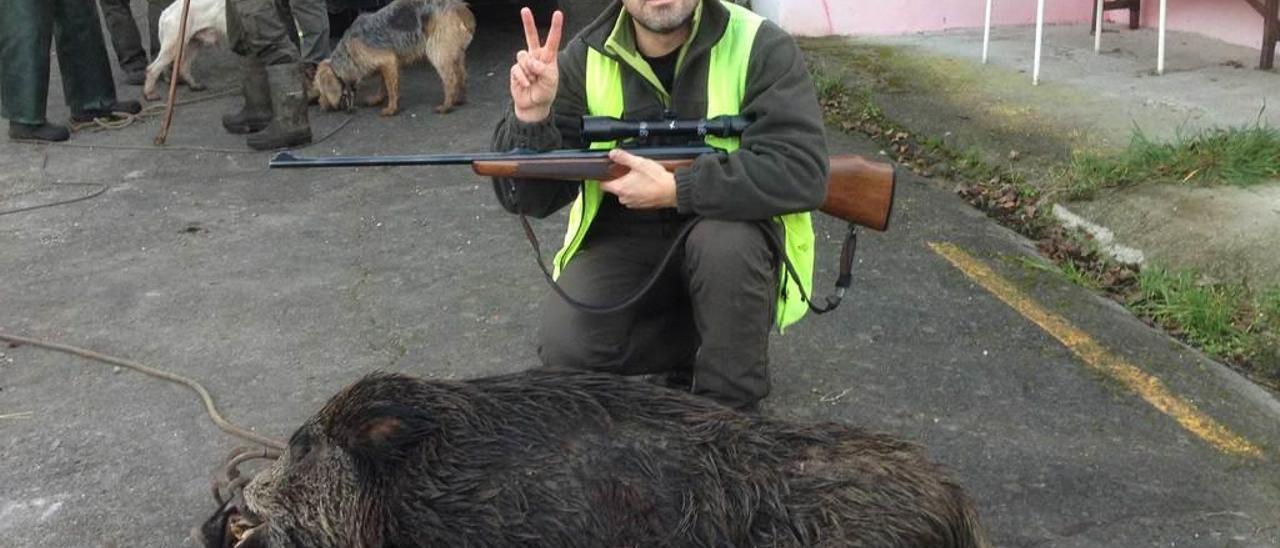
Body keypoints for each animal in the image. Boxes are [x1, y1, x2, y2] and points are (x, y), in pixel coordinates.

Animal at [313, 0, 476, 115]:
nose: (320, 105)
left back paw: (446, 106)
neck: (348, 53)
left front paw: (391, 109)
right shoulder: (387, 65)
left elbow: (391, 88)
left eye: (321, 91)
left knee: (451, 79)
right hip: (455, 52)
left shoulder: (388, 60)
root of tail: (460, 7)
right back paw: (459, 99)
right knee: (462, 75)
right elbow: (383, 84)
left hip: (437, 51)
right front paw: (378, 99)